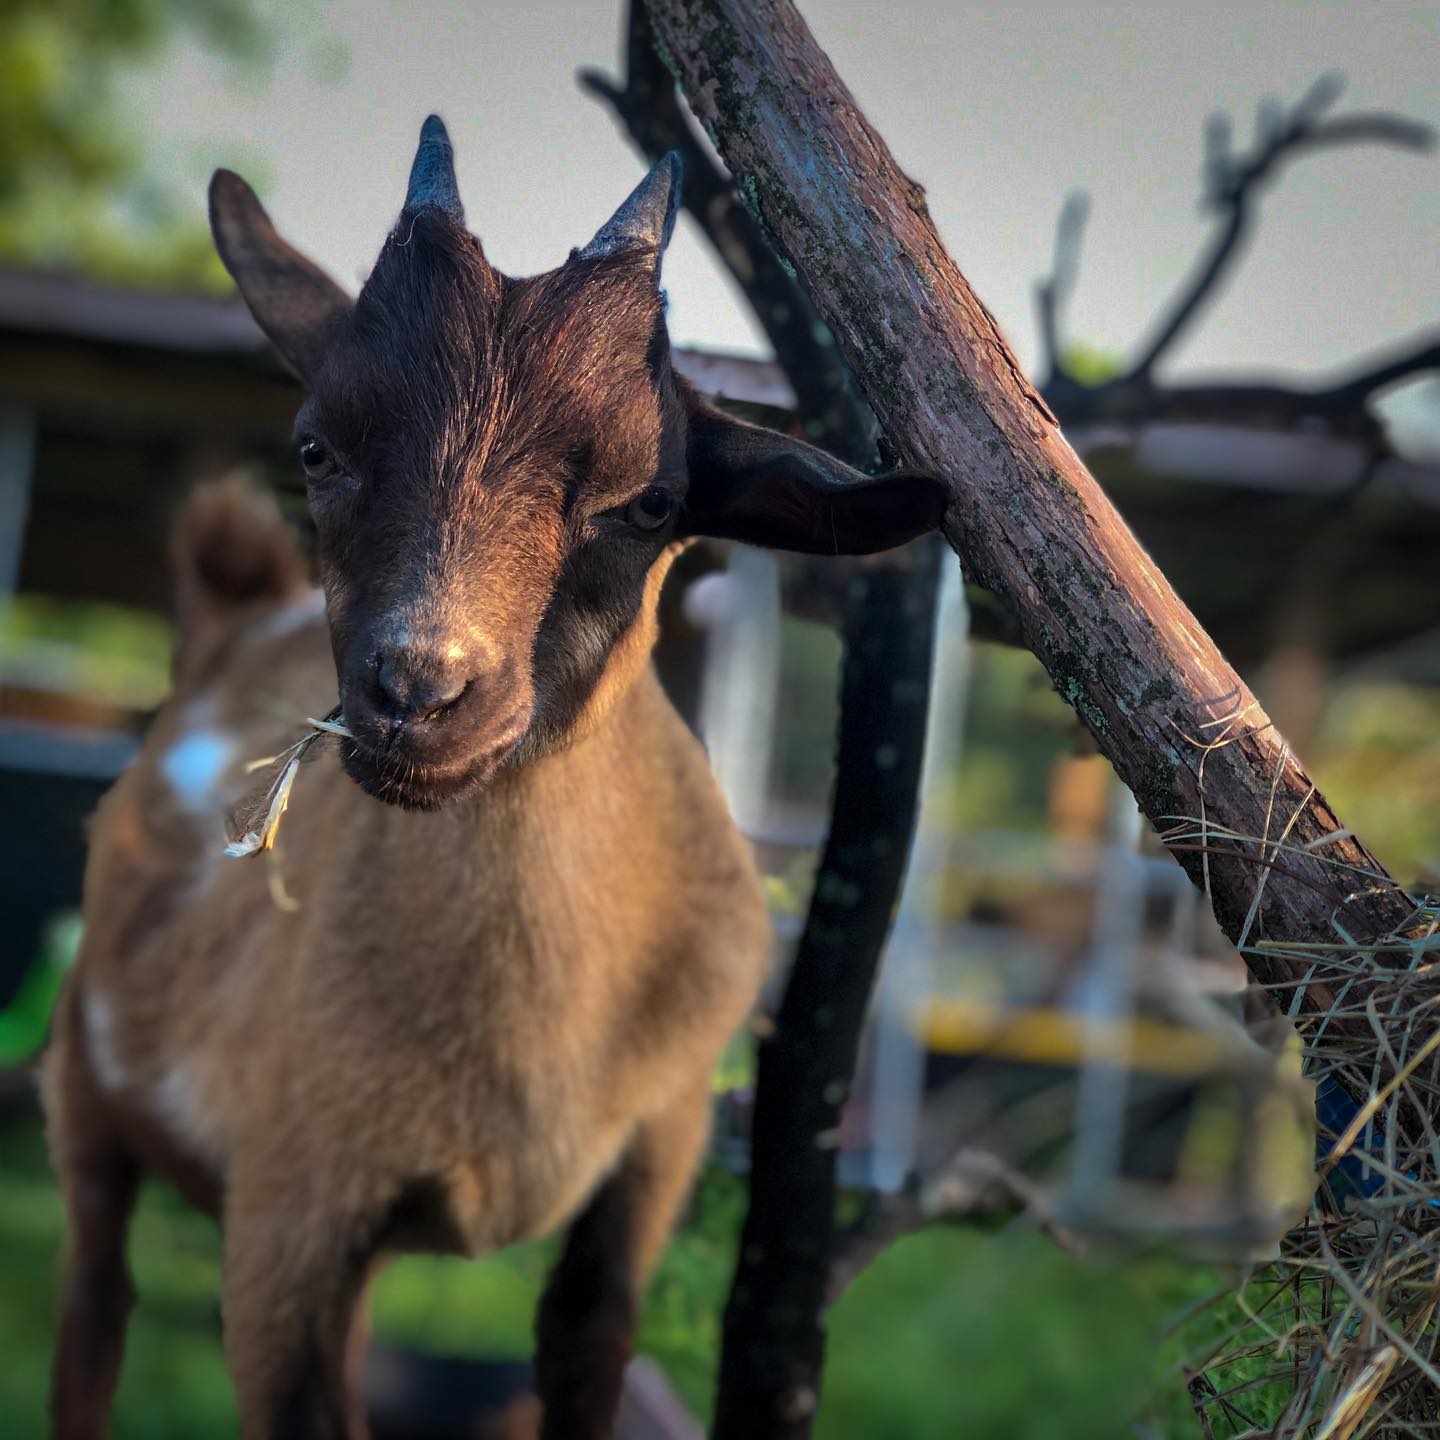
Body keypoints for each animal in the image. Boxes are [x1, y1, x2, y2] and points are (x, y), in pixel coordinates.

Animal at [42, 116, 945, 1440]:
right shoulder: (286, 1214)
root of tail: (231, 617)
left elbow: (583, 1359)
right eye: (316, 448)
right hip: (86, 1088)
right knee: (94, 1307)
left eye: (650, 501)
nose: (419, 693)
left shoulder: (650, 1164)